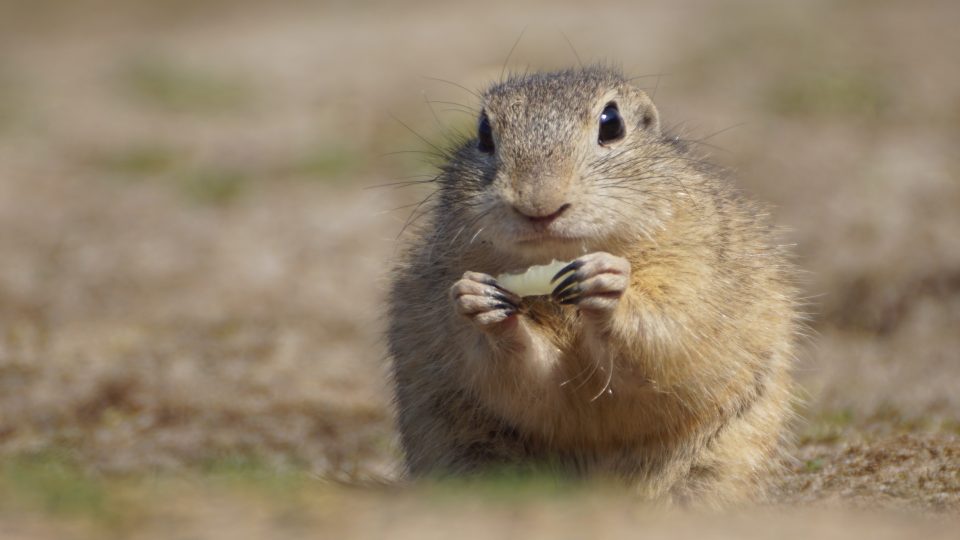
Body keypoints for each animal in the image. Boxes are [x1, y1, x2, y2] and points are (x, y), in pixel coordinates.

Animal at [386, 65, 800, 508]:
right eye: (483, 132)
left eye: (612, 123)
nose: (539, 205)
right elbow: (525, 376)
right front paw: (478, 302)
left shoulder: (694, 272)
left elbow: (665, 337)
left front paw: (609, 286)